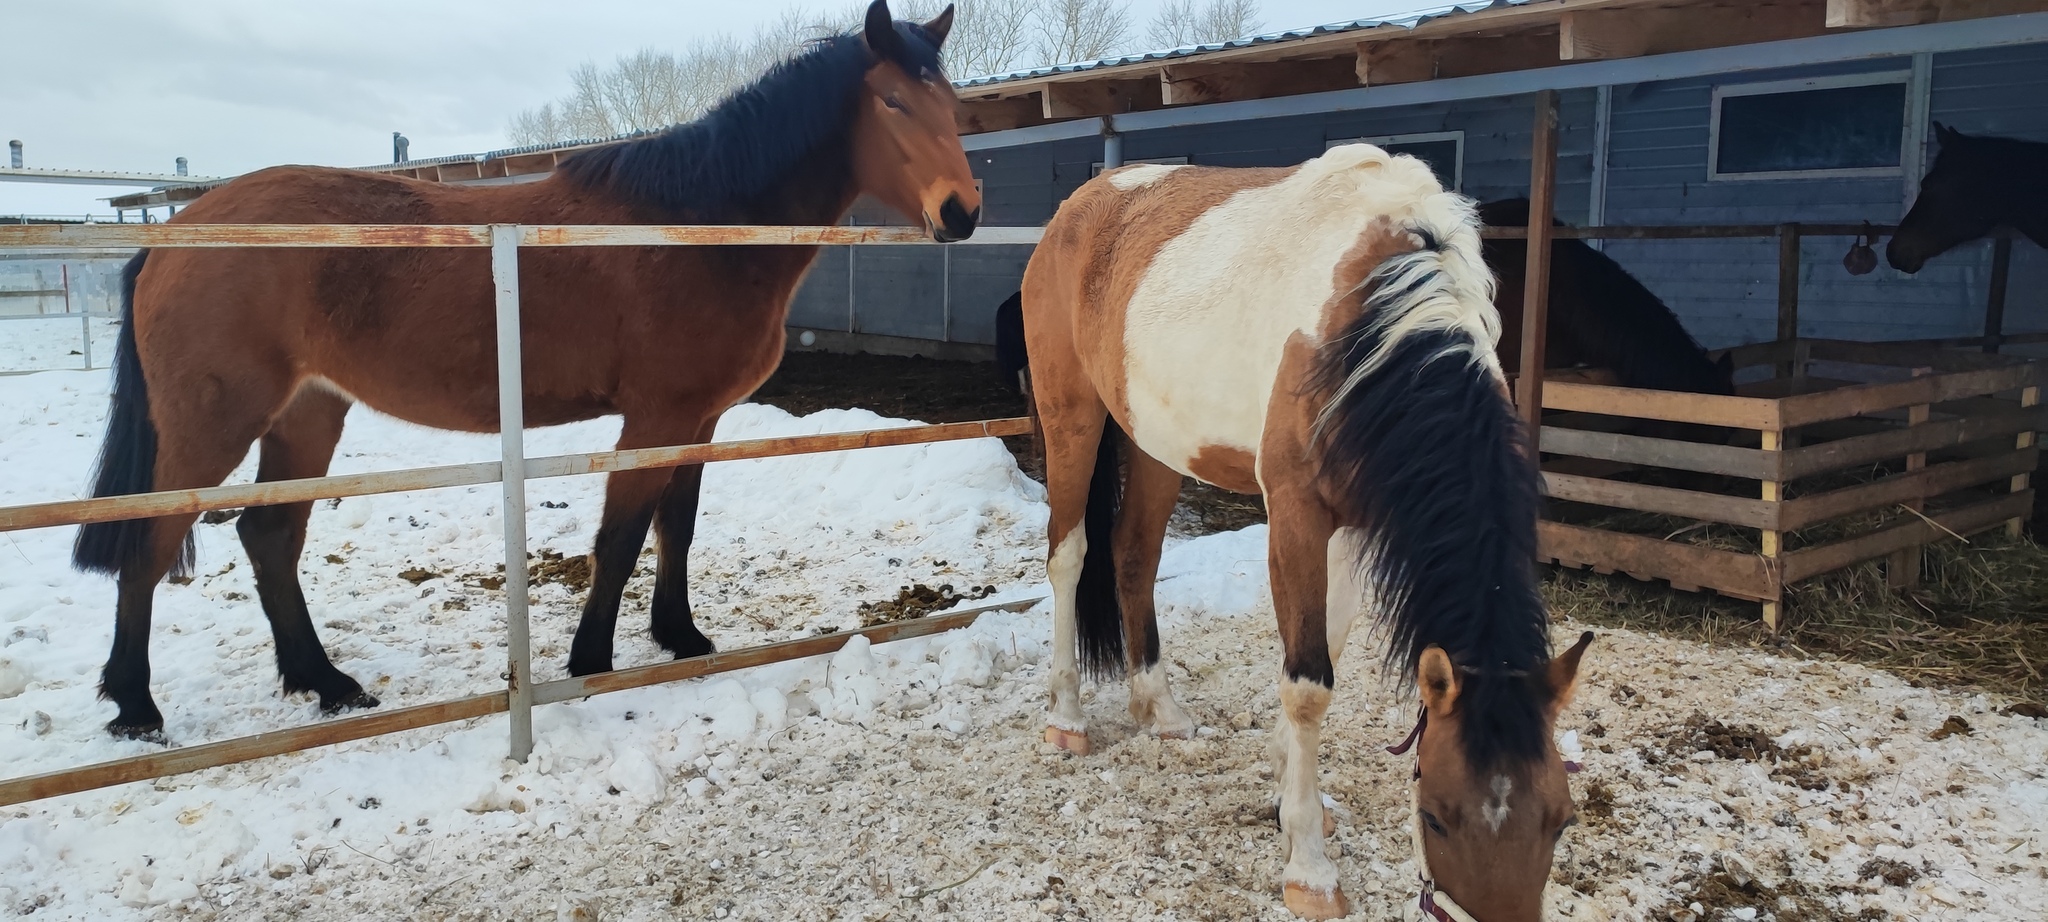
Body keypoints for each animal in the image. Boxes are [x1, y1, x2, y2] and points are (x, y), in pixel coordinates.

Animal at [72, 0, 983, 737]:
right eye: (893, 102)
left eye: (953, 106)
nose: (962, 213)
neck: (694, 228)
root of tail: (176, 233)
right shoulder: (655, 415)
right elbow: (620, 536)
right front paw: (590, 662)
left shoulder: (699, 418)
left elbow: (675, 527)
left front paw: (681, 637)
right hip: (214, 422)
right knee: (150, 542)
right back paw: (137, 706)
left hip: (309, 412)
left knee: (269, 539)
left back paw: (324, 683)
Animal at [1015, 145, 1589, 922]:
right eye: (1435, 817)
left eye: (1561, 818)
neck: (1373, 318)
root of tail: (1078, 206)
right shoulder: (1295, 514)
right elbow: (1309, 683)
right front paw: (1308, 867)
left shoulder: (1356, 521)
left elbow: (1326, 649)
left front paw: (1294, 796)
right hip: (1069, 415)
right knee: (1069, 557)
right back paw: (1068, 718)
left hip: (1156, 442)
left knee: (1134, 554)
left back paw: (1160, 708)